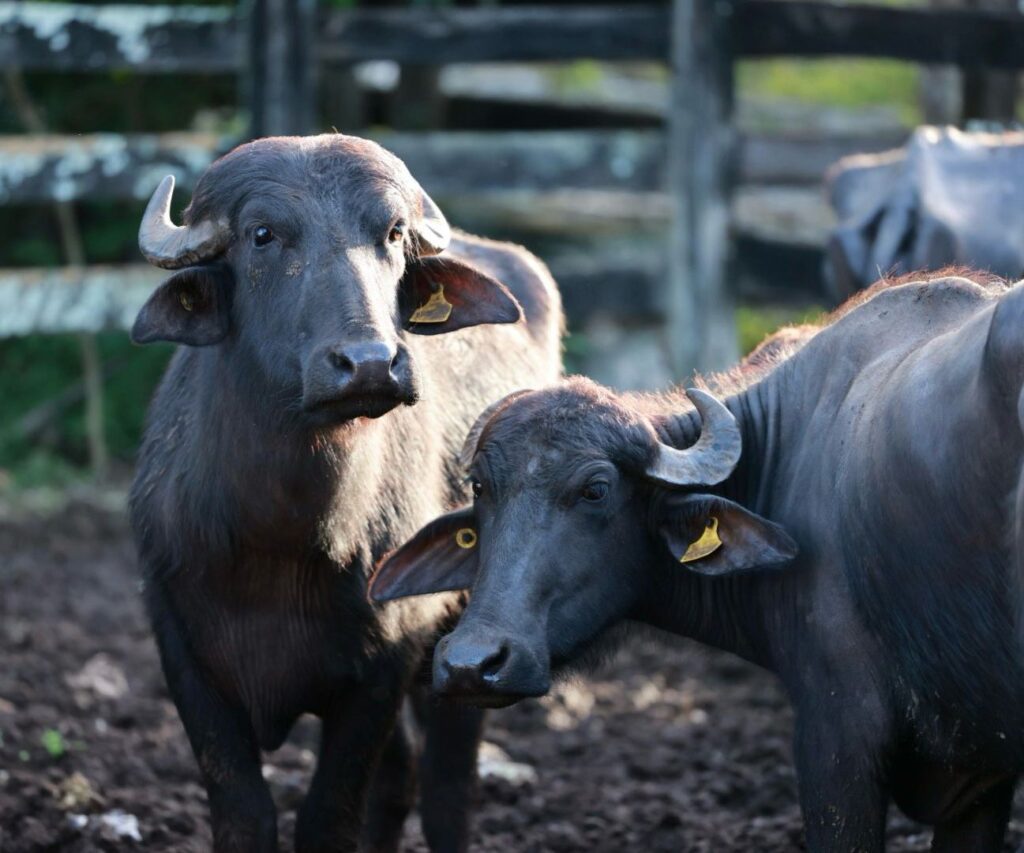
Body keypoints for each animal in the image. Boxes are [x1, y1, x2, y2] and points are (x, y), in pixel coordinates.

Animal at [129, 133, 565, 851]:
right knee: (402, 779)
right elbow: (244, 814)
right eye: (262, 234)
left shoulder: (382, 666)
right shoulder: (183, 654)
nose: (368, 363)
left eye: (391, 232)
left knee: (446, 785)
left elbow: (329, 816)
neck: (278, 542)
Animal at [372, 274, 1024, 851]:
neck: (783, 455)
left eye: (595, 490)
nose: (470, 664)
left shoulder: (838, 733)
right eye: (481, 487)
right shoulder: (979, 780)